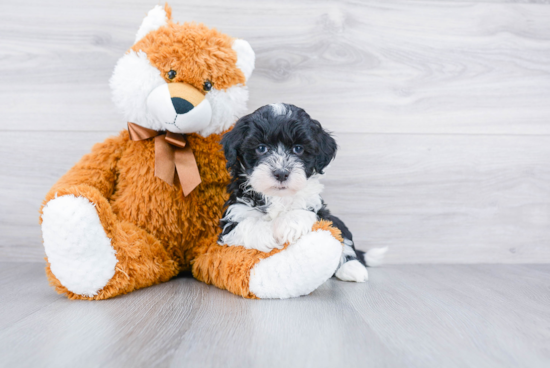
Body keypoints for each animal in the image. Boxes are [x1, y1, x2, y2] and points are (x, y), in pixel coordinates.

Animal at [218, 103, 386, 282]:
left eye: (298, 149)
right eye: (261, 148)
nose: (281, 173)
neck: (278, 197)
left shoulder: (318, 209)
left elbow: (317, 220)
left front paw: (291, 222)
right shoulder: (233, 216)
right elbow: (246, 224)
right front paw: (268, 234)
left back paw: (352, 267)